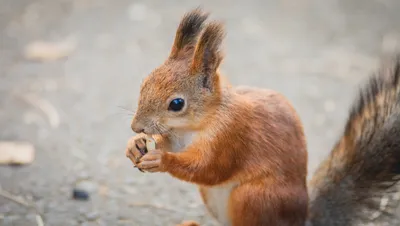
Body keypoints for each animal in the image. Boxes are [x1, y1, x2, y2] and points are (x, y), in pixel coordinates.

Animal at [126, 7, 400, 226]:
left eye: (177, 104)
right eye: (144, 83)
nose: (136, 127)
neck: (196, 126)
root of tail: (301, 220)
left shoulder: (232, 136)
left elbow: (209, 169)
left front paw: (161, 159)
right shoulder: (177, 136)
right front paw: (135, 146)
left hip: (254, 197)